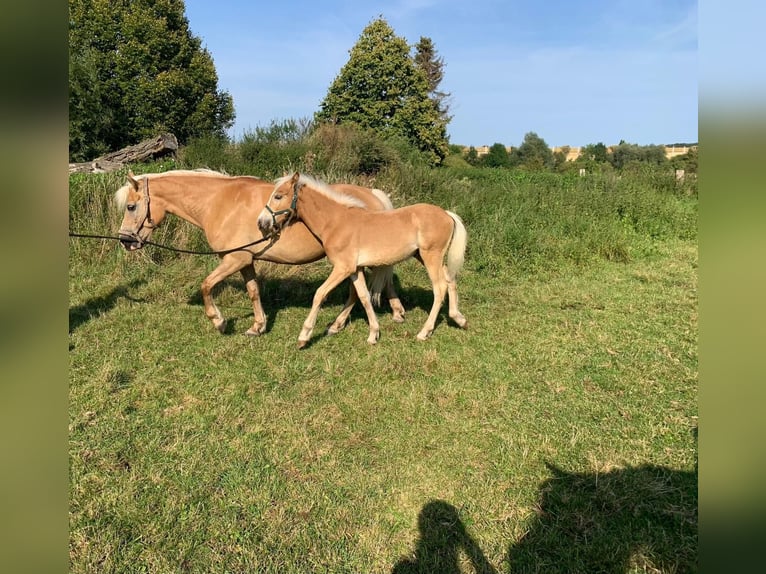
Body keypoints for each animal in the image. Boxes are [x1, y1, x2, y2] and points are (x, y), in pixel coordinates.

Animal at [116, 169, 404, 336]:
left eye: (131, 206)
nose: (125, 240)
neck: (219, 202)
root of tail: (374, 196)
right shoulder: (245, 260)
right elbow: (253, 291)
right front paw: (258, 326)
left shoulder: (233, 259)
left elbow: (206, 285)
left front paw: (219, 321)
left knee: (360, 290)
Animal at [258, 173, 468, 348]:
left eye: (278, 196)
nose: (262, 223)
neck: (336, 222)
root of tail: (447, 214)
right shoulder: (355, 269)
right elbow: (364, 296)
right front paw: (373, 334)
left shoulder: (342, 268)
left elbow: (320, 294)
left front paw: (304, 336)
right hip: (426, 257)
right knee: (450, 279)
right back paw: (459, 319)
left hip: (431, 256)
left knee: (440, 288)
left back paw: (425, 332)